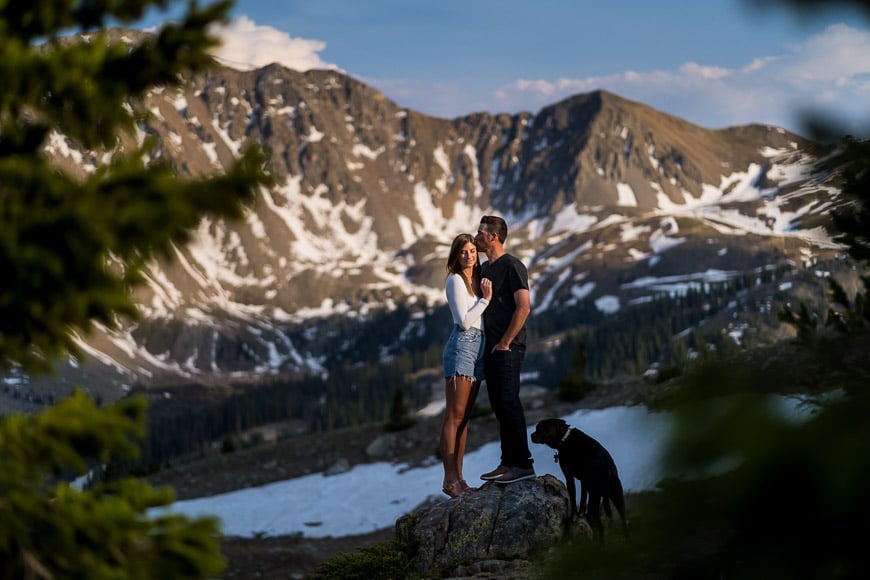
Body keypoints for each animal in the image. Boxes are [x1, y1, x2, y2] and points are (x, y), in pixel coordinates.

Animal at [528, 416, 632, 544]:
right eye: (537, 427)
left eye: (544, 429)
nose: (531, 435)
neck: (564, 438)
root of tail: (606, 468)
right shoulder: (584, 481)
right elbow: (582, 499)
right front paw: (580, 514)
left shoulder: (569, 477)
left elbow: (573, 501)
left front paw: (572, 518)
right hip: (617, 495)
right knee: (623, 521)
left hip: (595, 498)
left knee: (600, 525)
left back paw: (600, 544)